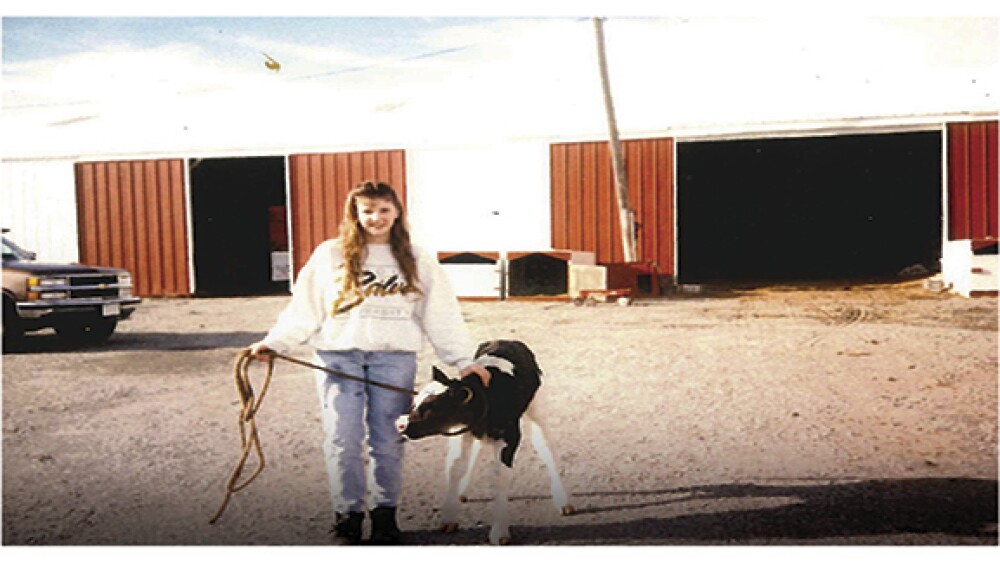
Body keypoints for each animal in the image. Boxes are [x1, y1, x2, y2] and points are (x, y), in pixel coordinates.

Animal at [396, 340, 576, 548]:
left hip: (537, 407)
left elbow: (498, 476)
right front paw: (449, 518)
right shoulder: (462, 432)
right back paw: (463, 490)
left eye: (431, 407)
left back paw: (563, 501)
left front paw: (500, 532)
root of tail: (507, 341)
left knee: (546, 446)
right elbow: (455, 466)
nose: (400, 423)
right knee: (478, 450)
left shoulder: (510, 437)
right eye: (414, 403)